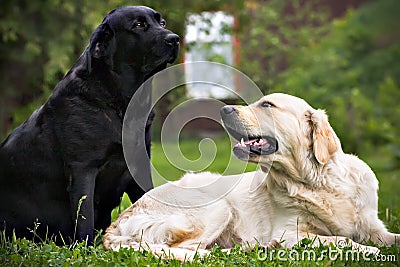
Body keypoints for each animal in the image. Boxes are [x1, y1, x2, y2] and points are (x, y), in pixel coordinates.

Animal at [0, 5, 180, 245]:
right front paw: (85, 247)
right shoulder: (82, 168)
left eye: (162, 23)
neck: (121, 105)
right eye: (138, 25)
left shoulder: (139, 164)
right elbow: (84, 216)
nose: (175, 38)